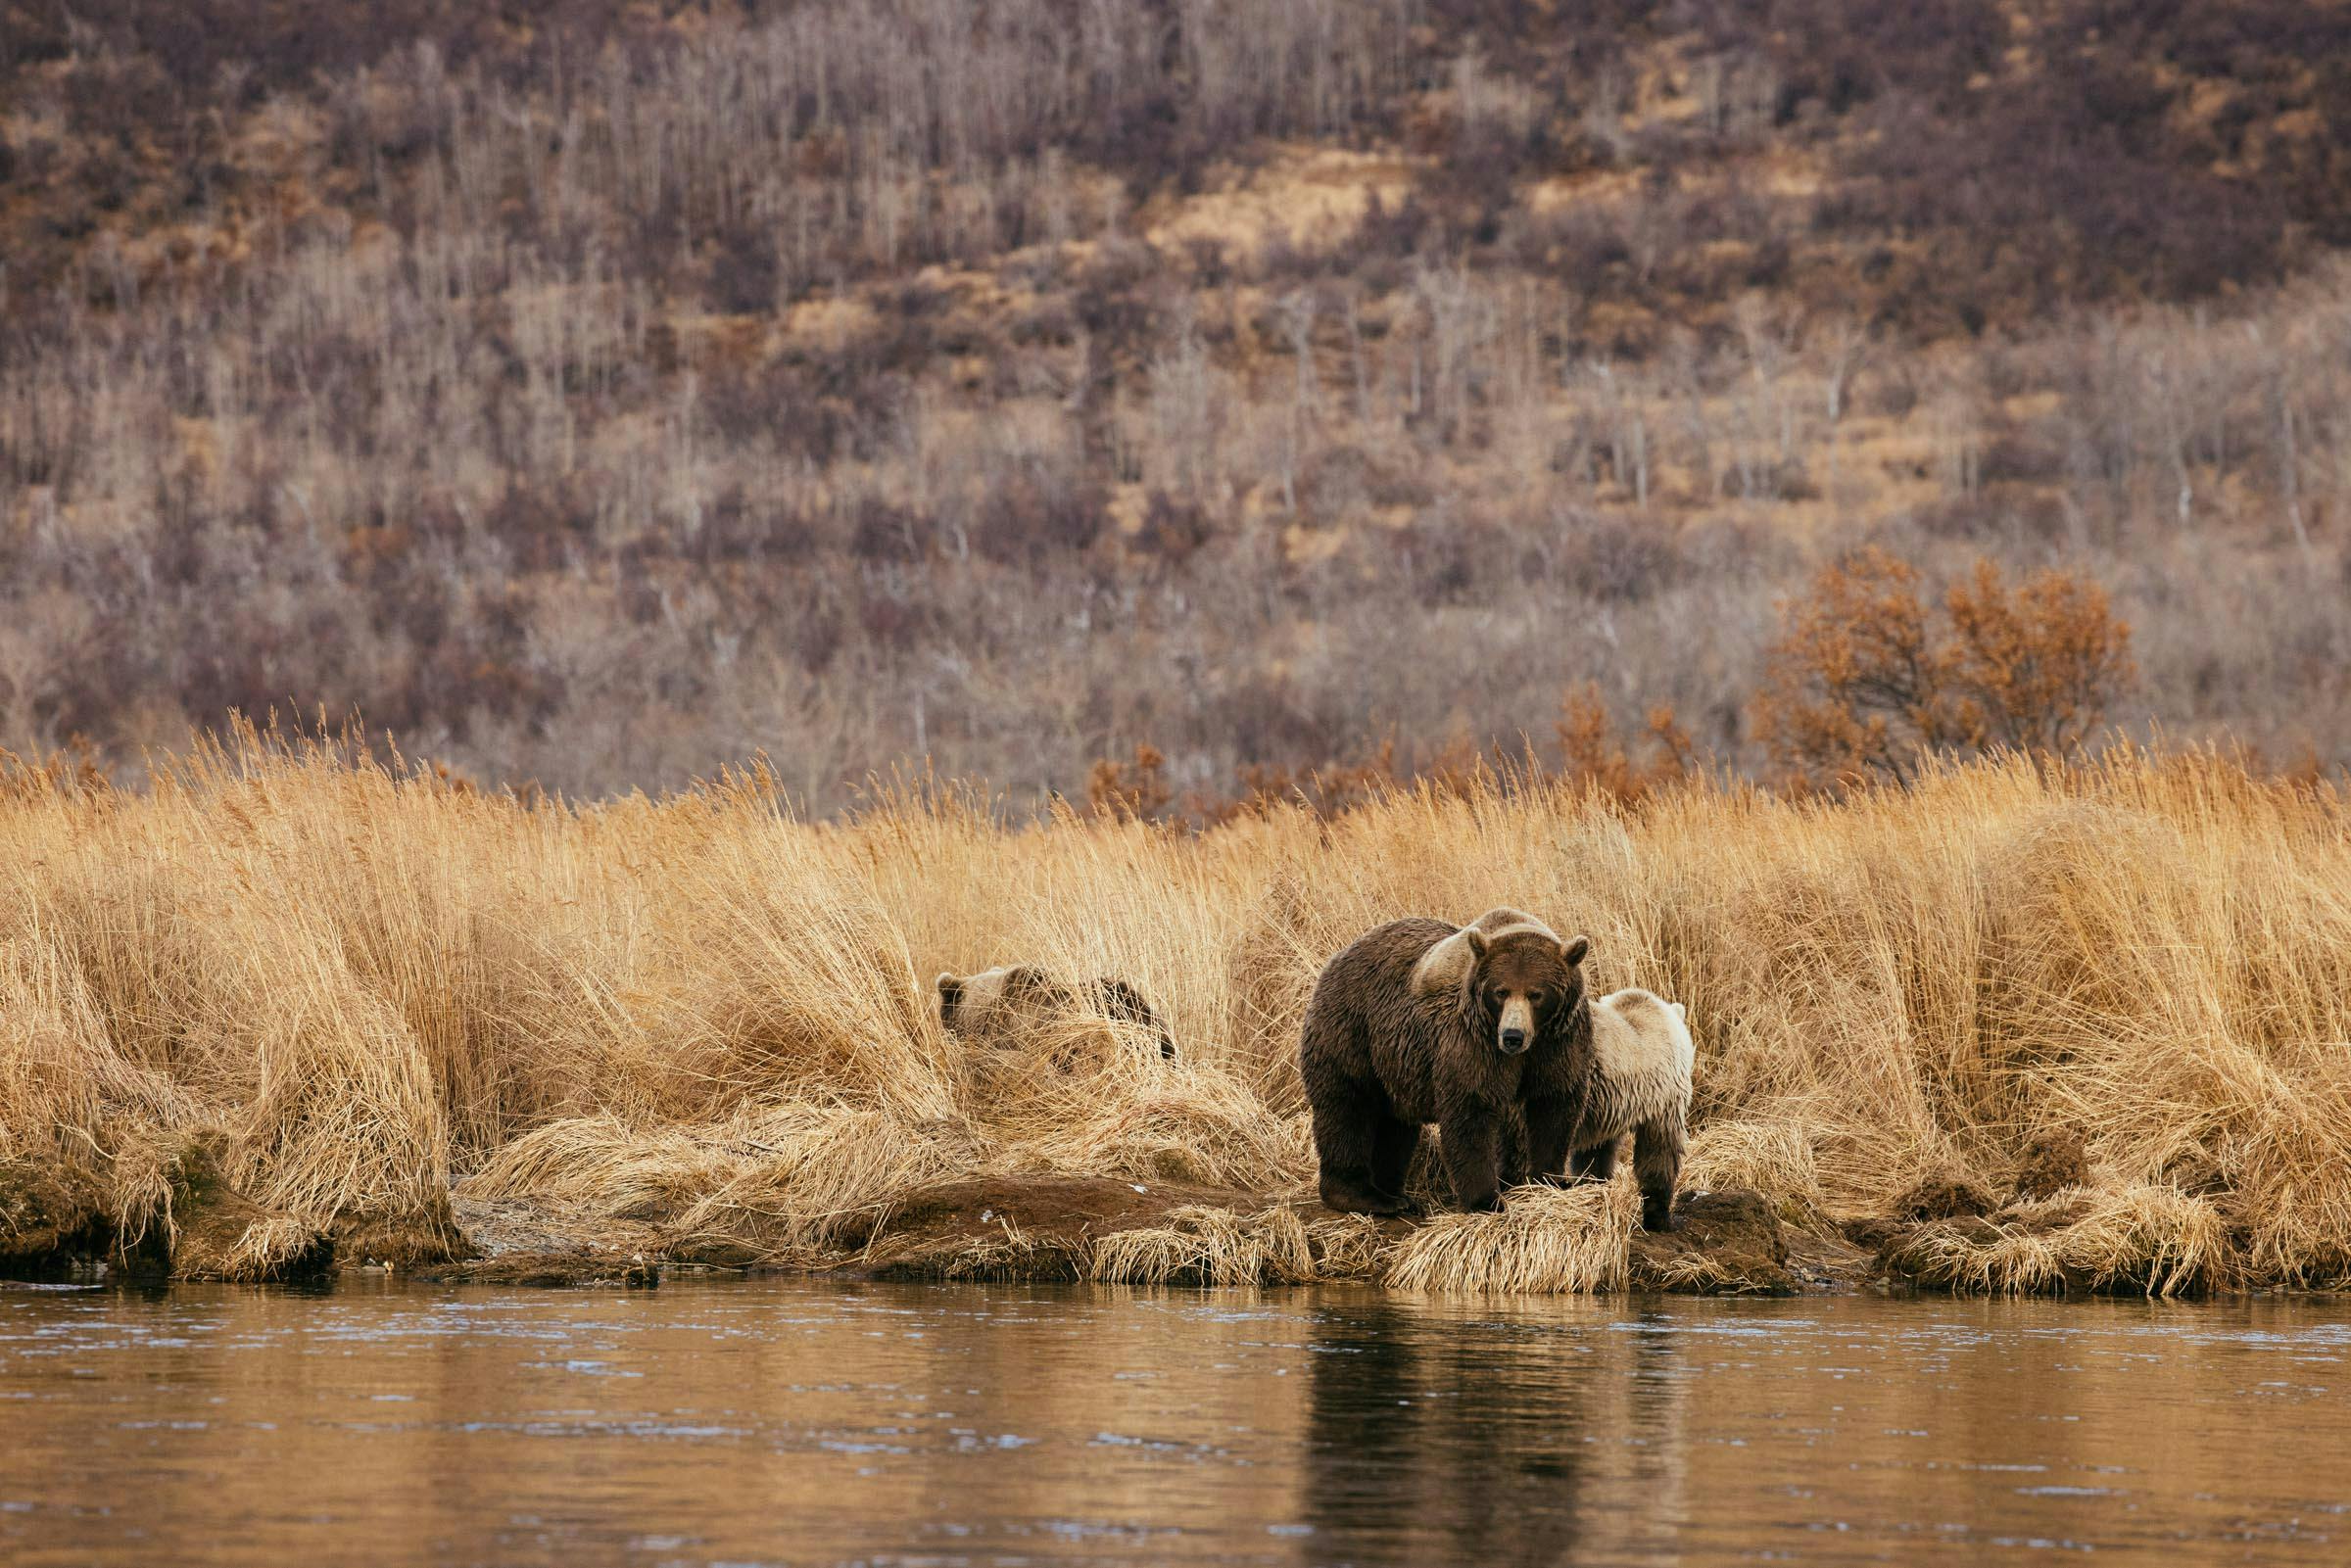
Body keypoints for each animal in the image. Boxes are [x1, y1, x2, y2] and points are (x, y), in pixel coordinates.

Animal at [1300, 908, 1594, 1216]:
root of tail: (1341, 955)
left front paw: (1549, 1180)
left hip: (1397, 1063)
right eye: (1500, 991)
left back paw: (1395, 1194)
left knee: (1395, 1125)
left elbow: (1554, 1105)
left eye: (1536, 994)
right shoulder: (1472, 1040)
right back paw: (1362, 1195)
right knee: (1348, 1107)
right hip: (1353, 1029)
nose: (1512, 1036)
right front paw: (1486, 1200)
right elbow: (1472, 1110)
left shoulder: (1560, 1042)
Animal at [1561, 988, 1695, 1233]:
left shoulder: (1604, 1109)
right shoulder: (1663, 1098)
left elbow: (1593, 1155)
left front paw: (1593, 1183)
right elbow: (1660, 1151)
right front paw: (1663, 1219)